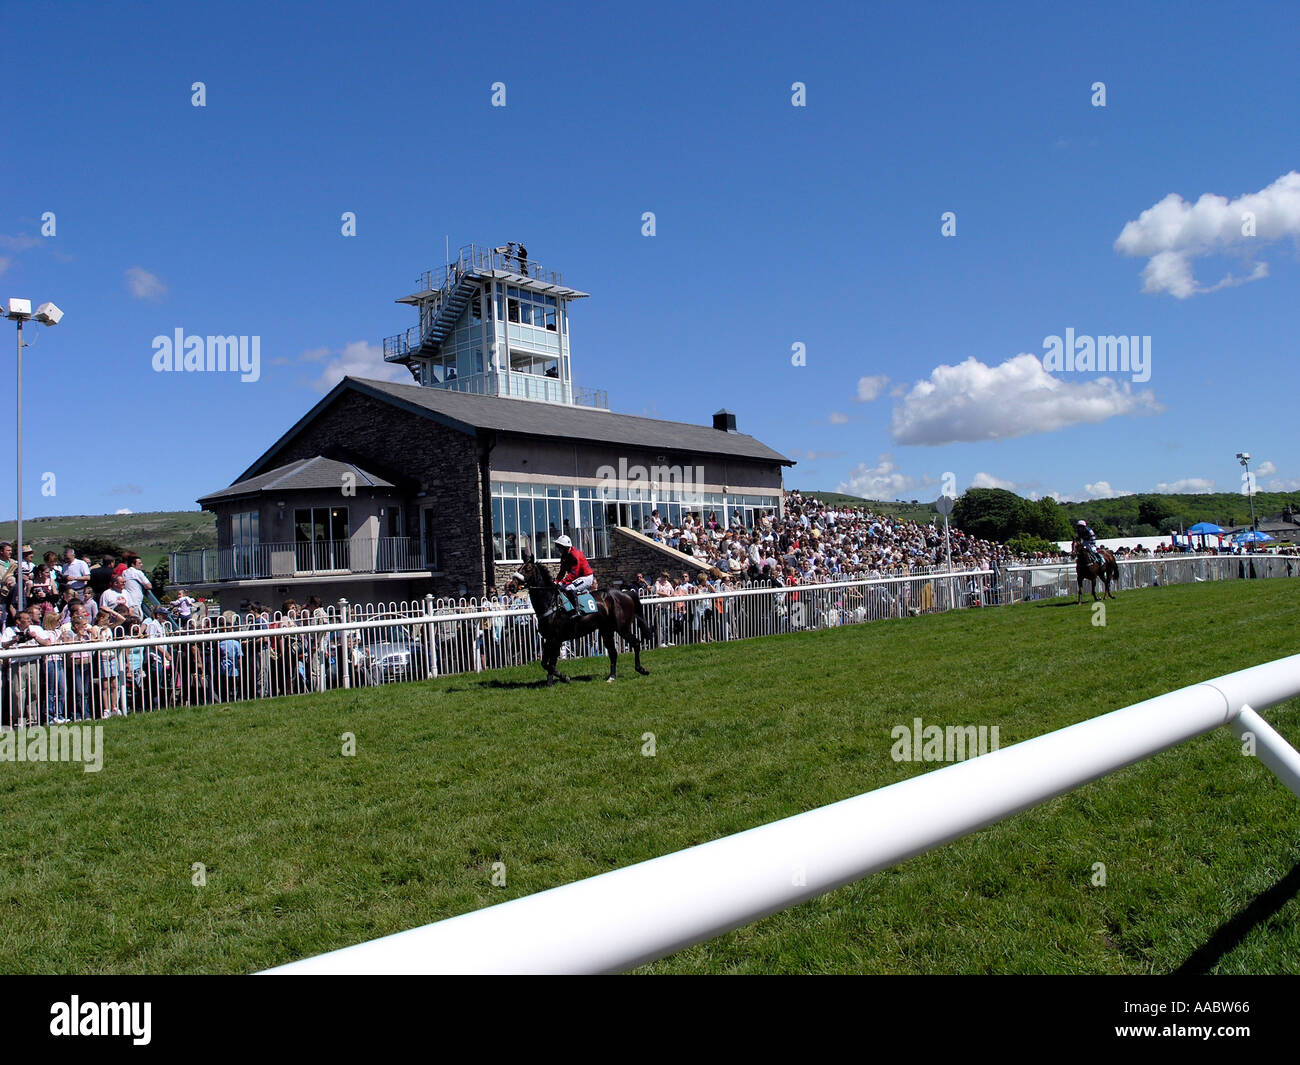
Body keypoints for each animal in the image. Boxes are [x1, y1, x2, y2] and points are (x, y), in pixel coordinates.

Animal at [517, 546, 655, 686]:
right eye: (519, 568)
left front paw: (563, 678)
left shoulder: (556, 639)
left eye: (528, 569)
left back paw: (641, 669)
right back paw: (612, 677)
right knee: (613, 652)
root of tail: (626, 594)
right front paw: (553, 682)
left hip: (622, 627)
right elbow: (546, 663)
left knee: (636, 643)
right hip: (606, 630)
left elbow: (550, 664)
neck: (551, 603)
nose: (512, 584)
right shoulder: (549, 639)